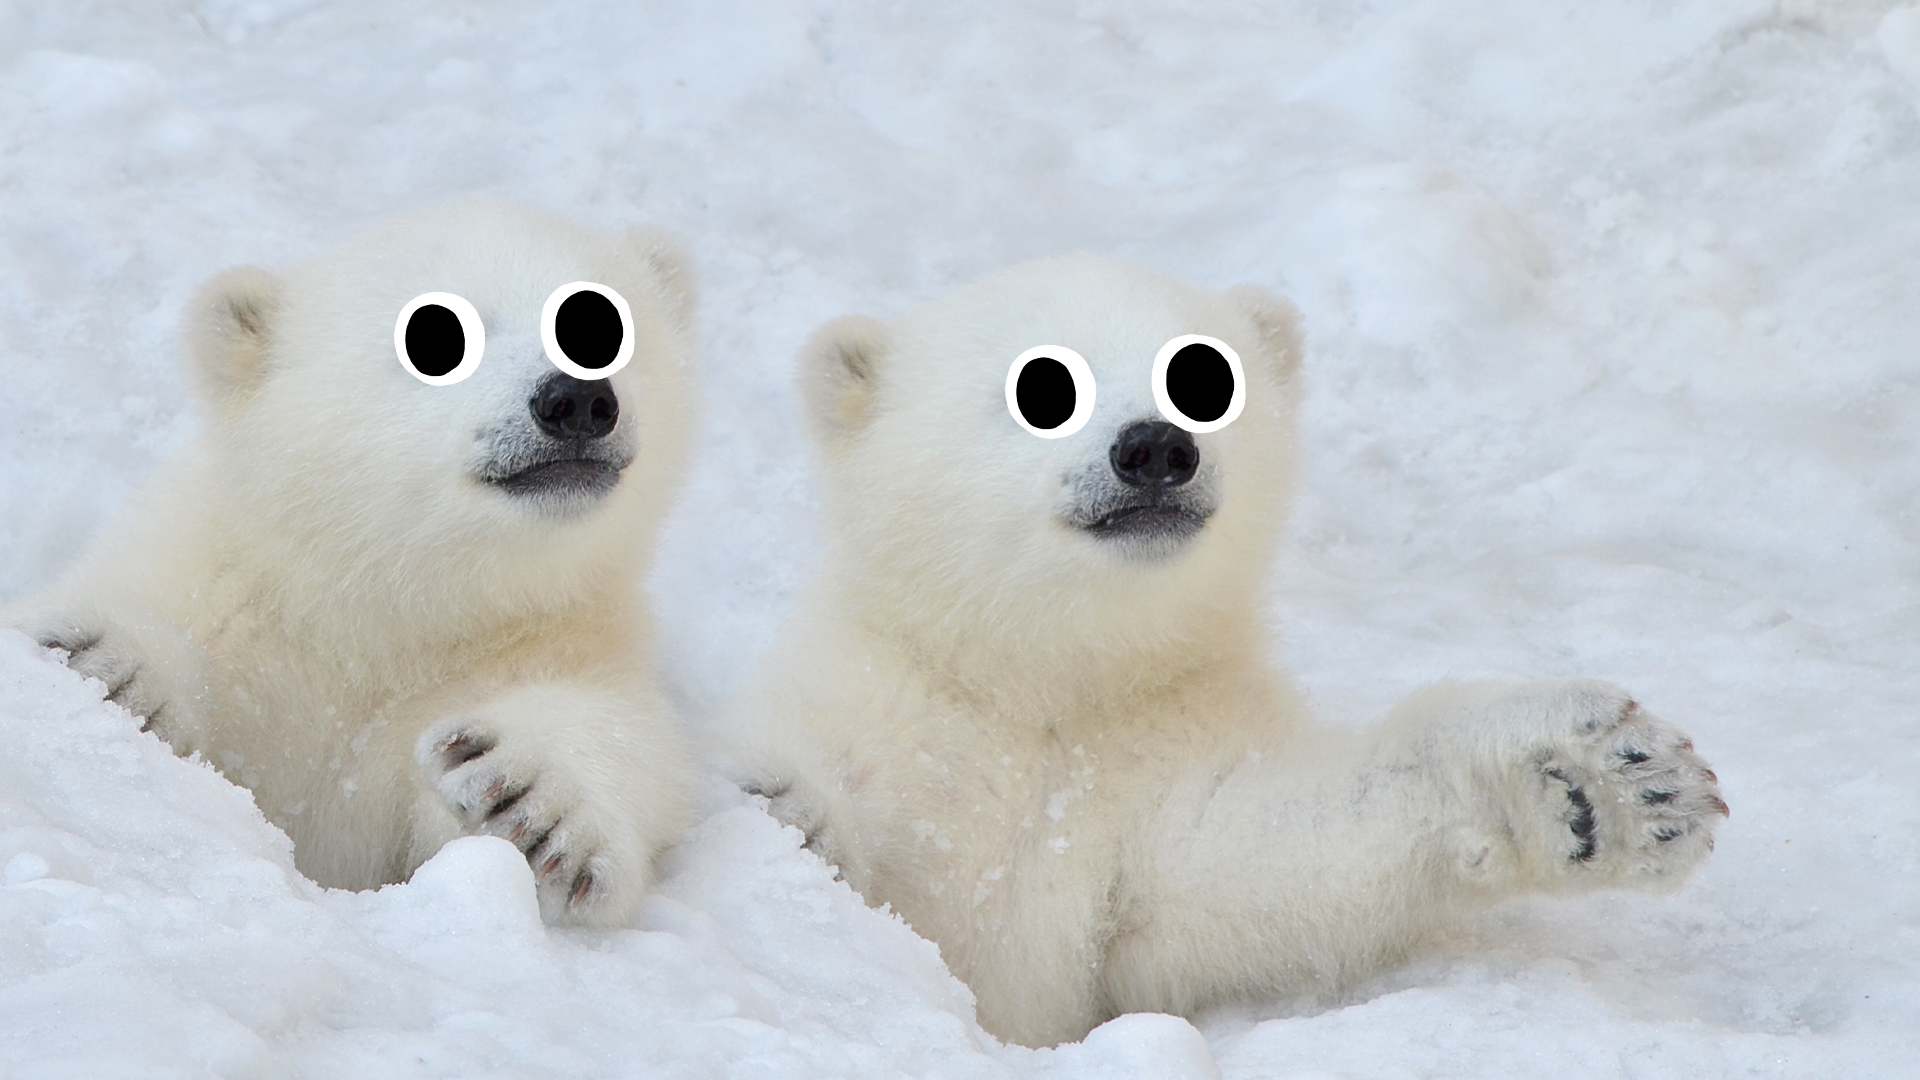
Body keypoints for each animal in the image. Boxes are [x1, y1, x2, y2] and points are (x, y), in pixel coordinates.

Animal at [7, 200, 697, 927]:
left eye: (599, 325)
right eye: (435, 337)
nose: (575, 401)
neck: (378, 609)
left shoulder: (553, 641)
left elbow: (622, 741)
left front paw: (532, 801)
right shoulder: (227, 596)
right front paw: (102, 664)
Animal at [723, 254, 1729, 1047]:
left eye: (1201, 377)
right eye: (1040, 389)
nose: (1154, 448)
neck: (1044, 684)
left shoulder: (1156, 764)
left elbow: (1248, 859)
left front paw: (1600, 780)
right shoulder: (887, 717)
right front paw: (777, 806)